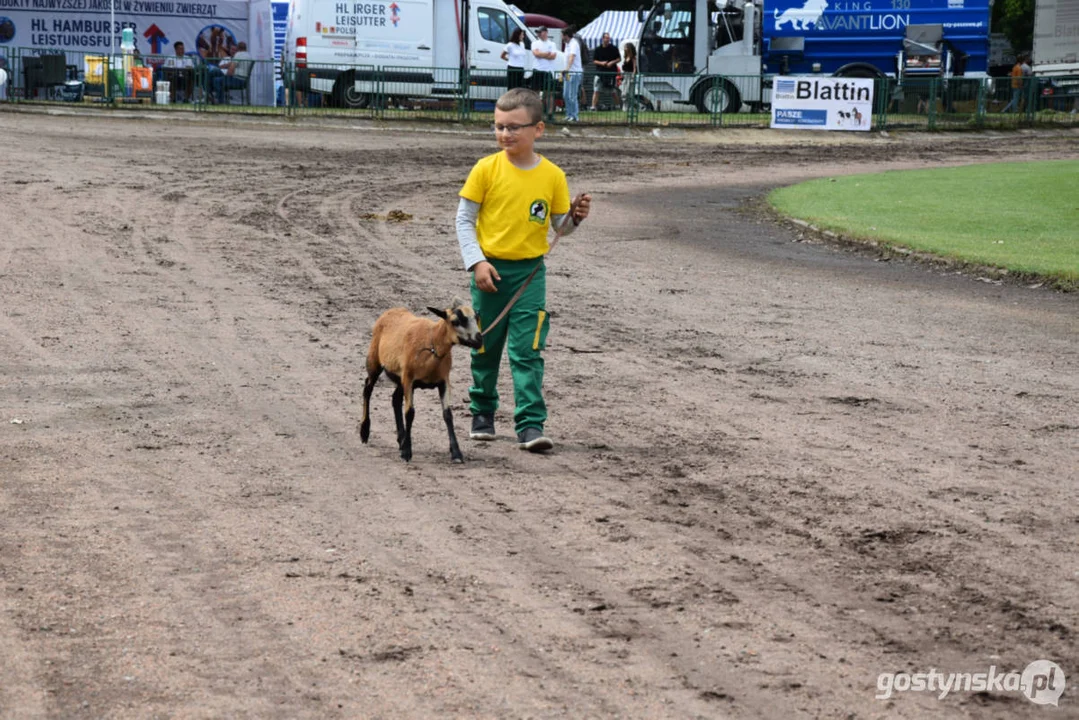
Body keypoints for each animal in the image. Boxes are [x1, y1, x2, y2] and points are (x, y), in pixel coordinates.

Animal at [360, 302, 483, 464]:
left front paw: (456, 453)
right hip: (374, 360)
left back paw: (401, 439)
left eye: (476, 318)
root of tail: (392, 310)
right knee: (368, 389)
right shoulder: (409, 379)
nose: (479, 340)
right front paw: (407, 452)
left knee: (395, 399)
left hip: (400, 377)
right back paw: (364, 432)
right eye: (455, 321)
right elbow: (410, 413)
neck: (433, 345)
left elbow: (447, 415)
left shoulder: (443, 381)